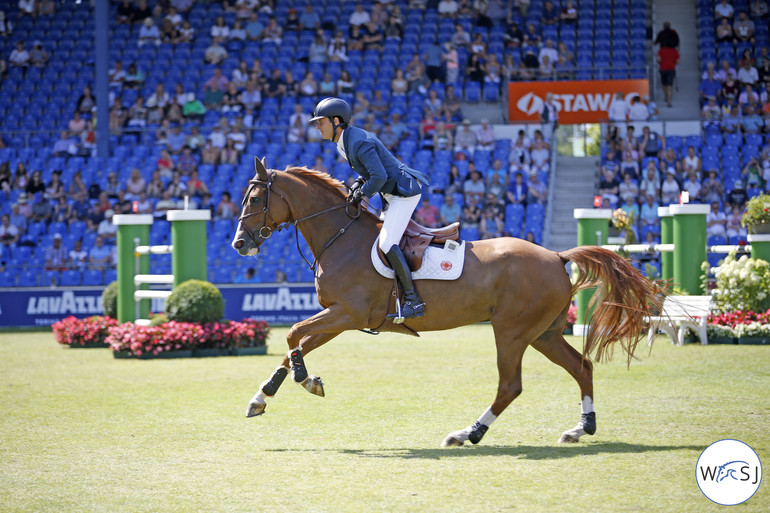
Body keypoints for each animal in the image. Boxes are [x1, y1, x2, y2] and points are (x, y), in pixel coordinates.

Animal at [230, 158, 660, 446]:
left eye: (255, 198)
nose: (238, 244)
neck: (340, 236)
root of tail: (556, 255)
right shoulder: (339, 317)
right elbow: (295, 346)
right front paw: (264, 396)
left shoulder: (346, 314)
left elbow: (293, 336)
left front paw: (306, 381)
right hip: (545, 333)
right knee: (581, 366)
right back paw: (580, 428)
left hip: (511, 332)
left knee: (510, 385)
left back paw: (468, 433)